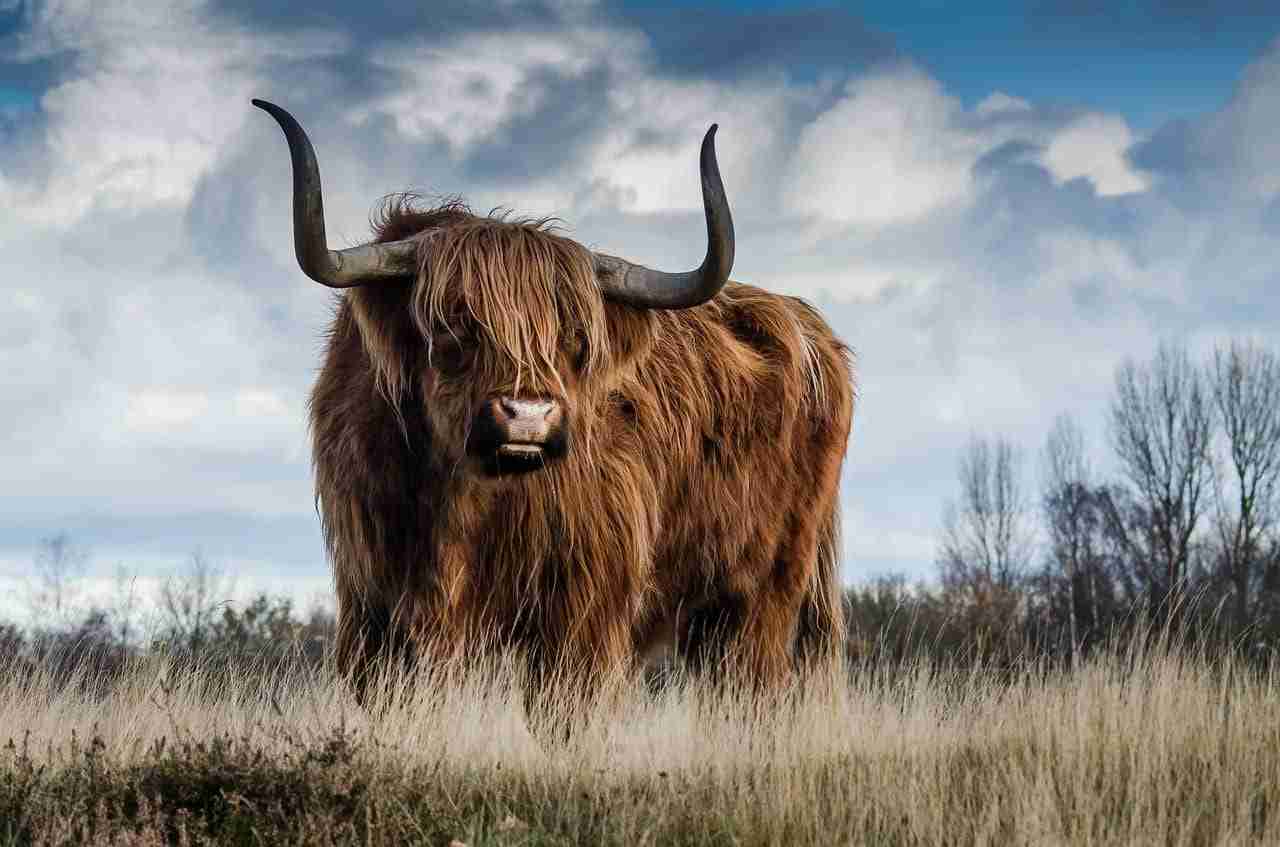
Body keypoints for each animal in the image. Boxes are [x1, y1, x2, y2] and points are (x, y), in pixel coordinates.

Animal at [253, 100, 854, 722]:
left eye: (574, 339)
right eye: (452, 325)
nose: (527, 414)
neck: (462, 503)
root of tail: (809, 326)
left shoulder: (582, 609)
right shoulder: (374, 606)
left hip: (764, 592)